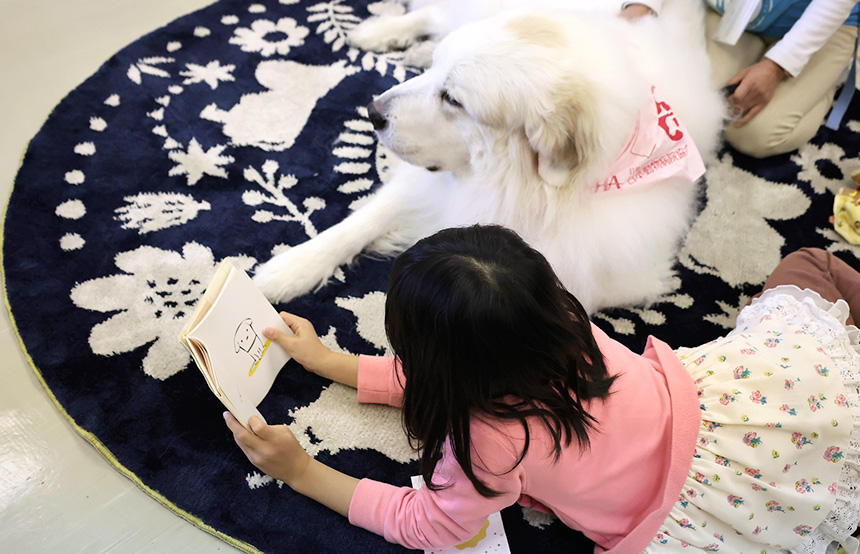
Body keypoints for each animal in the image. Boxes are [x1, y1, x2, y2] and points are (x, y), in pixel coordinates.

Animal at [254, 0, 724, 310]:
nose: (373, 112)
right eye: (437, 80)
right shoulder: (427, 183)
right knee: (435, 14)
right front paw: (288, 270)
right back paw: (378, 33)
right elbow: (359, 222)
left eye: (453, 99)